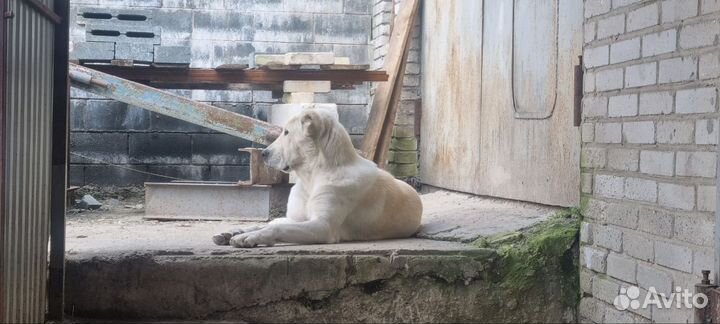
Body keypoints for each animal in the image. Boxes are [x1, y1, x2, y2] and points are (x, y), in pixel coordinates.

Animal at [211, 107, 422, 247]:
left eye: (287, 132)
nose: (263, 154)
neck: (311, 177)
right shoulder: (299, 219)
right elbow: (273, 225)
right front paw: (241, 232)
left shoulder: (323, 226)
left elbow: (277, 229)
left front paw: (251, 238)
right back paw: (231, 231)